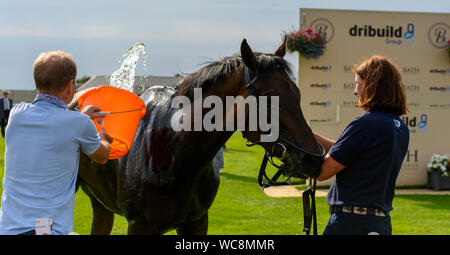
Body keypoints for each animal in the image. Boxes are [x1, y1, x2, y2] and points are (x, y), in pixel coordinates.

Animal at [69, 36, 324, 234]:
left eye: (297, 93)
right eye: (270, 97)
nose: (314, 159)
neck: (173, 152)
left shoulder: (197, 222)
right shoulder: (140, 225)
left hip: (101, 204)